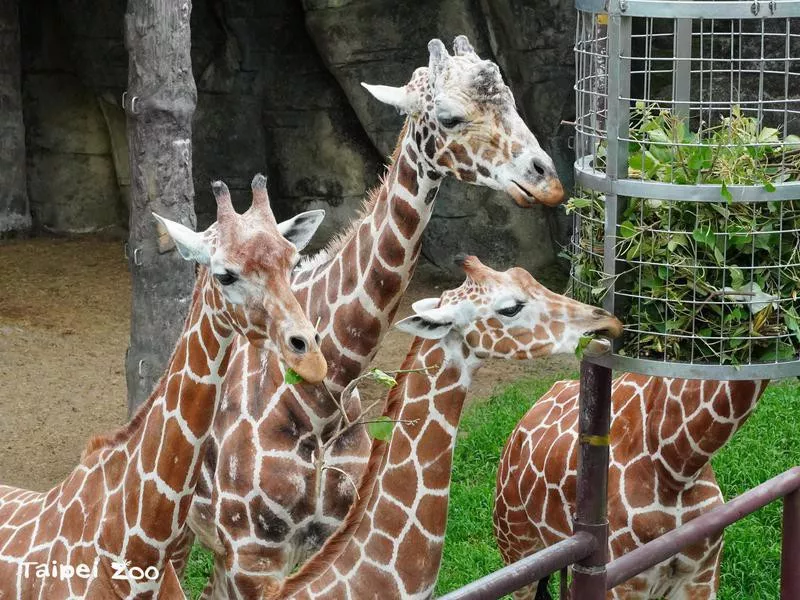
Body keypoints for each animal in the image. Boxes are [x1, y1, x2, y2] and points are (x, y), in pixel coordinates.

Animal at [186, 35, 568, 596]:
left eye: (513, 100)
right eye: (450, 117)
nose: (547, 181)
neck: (321, 401)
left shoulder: (331, 532)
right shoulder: (255, 553)